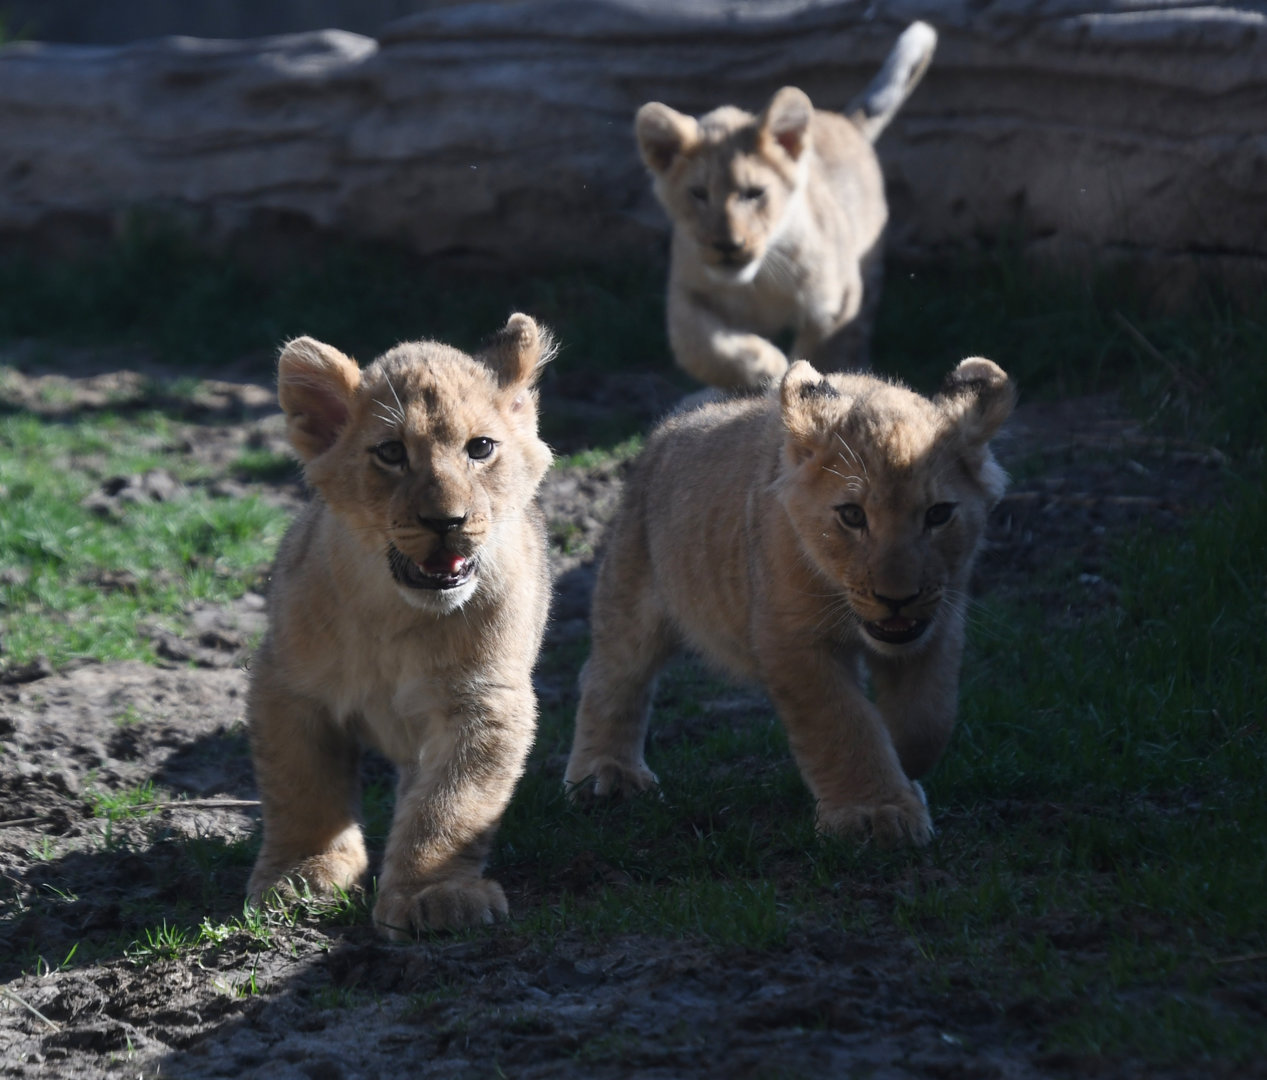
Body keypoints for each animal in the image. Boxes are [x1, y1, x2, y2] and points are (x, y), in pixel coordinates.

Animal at [246, 314, 554, 939]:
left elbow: (452, 804)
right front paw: (302, 872)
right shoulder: (285, 684)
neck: (398, 615)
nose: (446, 521)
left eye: (480, 448)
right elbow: (299, 787)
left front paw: (431, 893)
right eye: (390, 453)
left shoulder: (486, 701)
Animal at [565, 357, 1014, 844]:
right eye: (852, 515)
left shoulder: (938, 620)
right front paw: (876, 812)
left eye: (938, 514)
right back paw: (607, 776)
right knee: (612, 675)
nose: (897, 598)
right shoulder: (792, 637)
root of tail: (663, 432)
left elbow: (928, 717)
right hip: (632, 590)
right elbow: (841, 722)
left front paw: (905, 770)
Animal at [635, 21, 937, 391]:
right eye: (699, 193)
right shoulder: (686, 293)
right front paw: (766, 368)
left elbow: (825, 353)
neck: (760, 282)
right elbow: (703, 347)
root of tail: (846, 121)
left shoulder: (839, 302)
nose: (728, 246)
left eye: (754, 192)